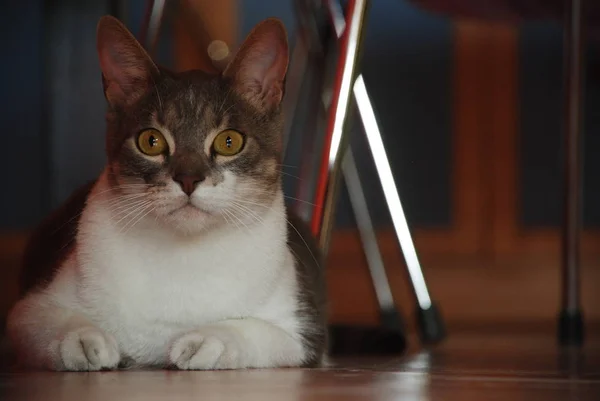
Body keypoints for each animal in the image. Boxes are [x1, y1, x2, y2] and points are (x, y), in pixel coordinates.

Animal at [5, 16, 328, 372]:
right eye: (151, 141)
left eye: (229, 141)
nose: (188, 179)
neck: (183, 255)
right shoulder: (28, 310)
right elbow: (52, 322)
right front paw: (83, 340)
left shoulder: (304, 332)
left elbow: (255, 331)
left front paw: (208, 341)